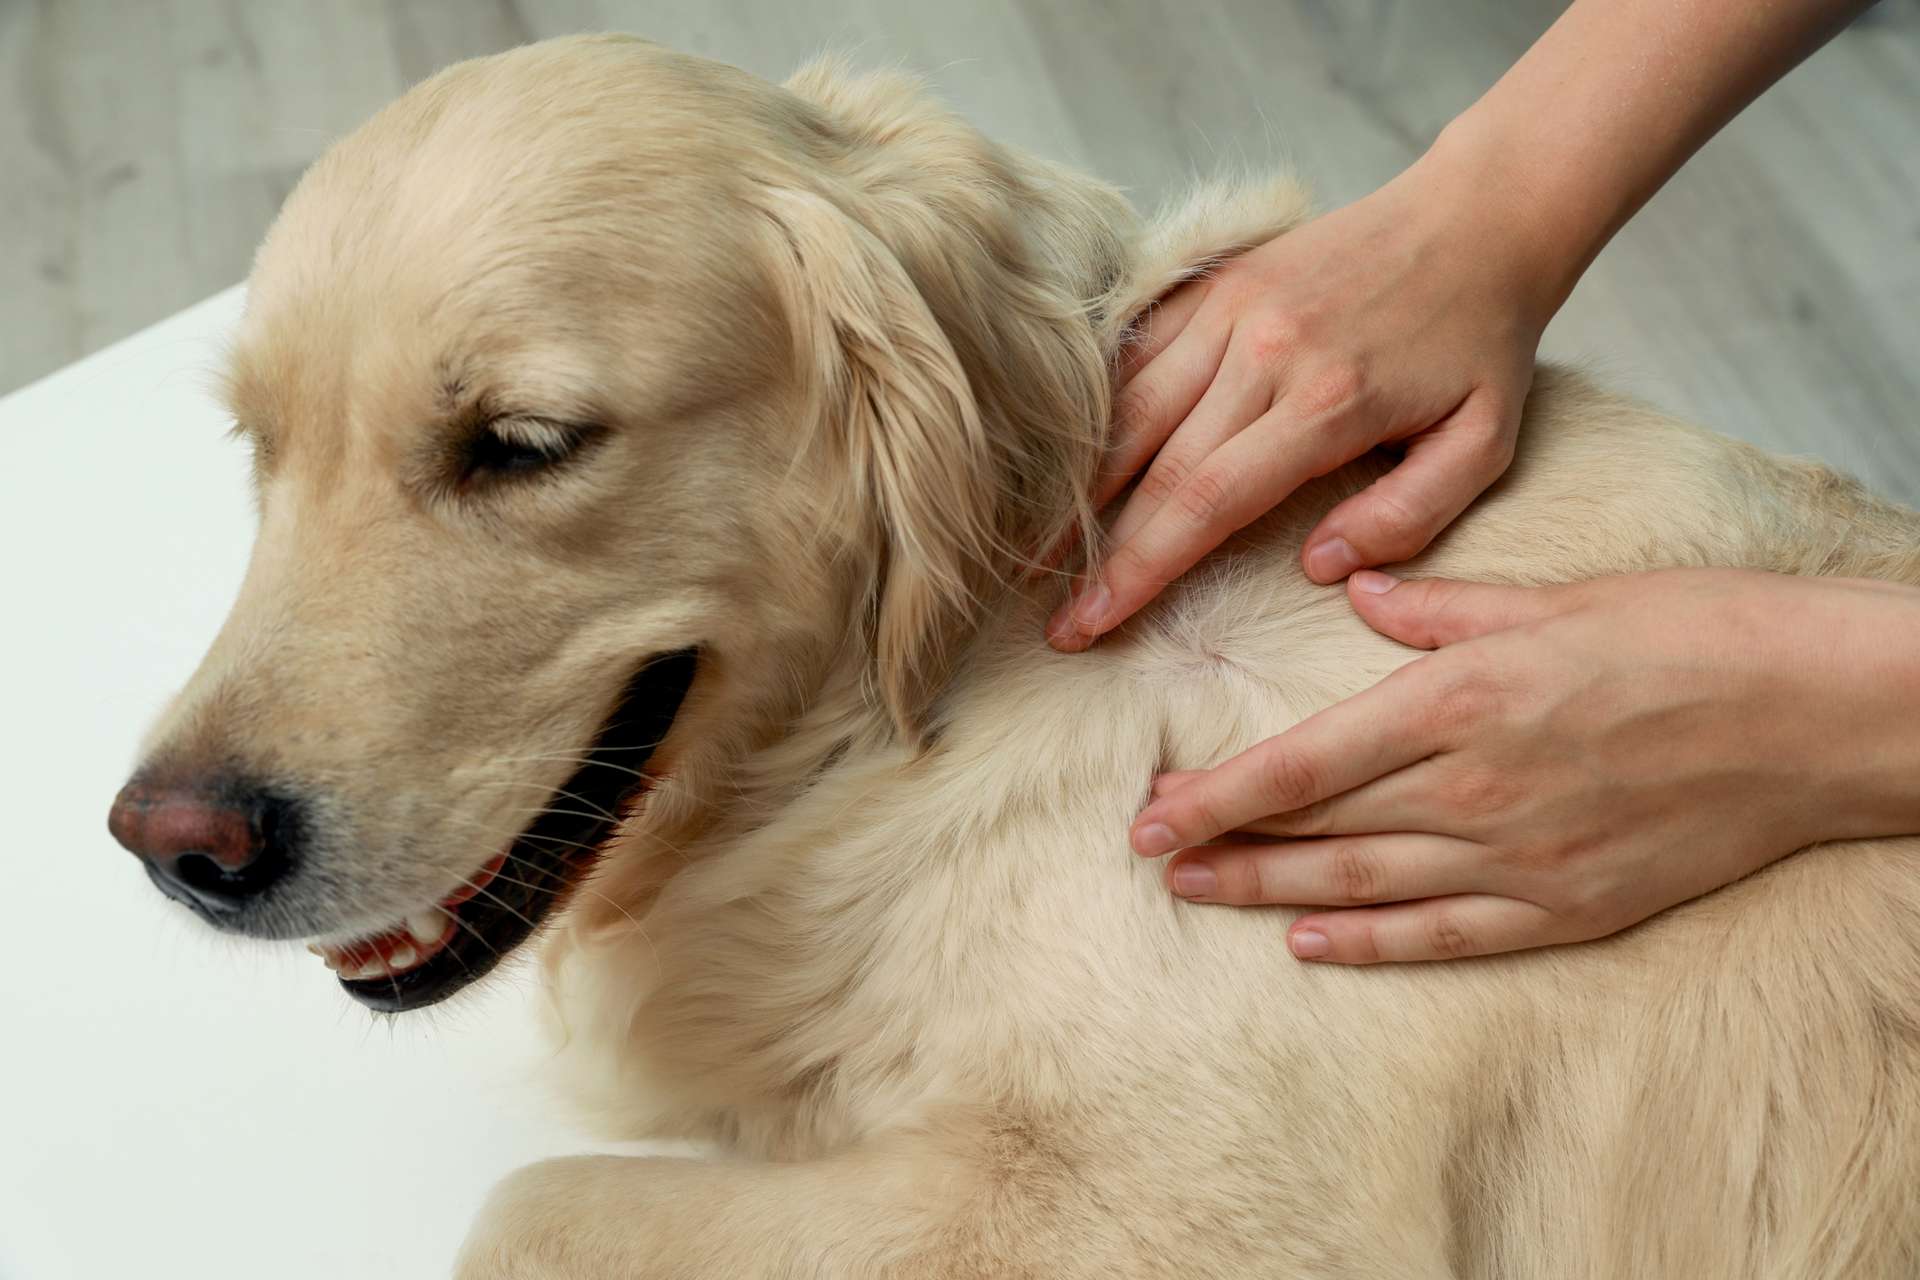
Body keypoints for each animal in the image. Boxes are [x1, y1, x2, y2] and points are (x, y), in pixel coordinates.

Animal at [108, 32, 1920, 1280]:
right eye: (259, 446)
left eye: (524, 446)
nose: (172, 848)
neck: (954, 673)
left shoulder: (1169, 1213)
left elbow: (521, 1208)